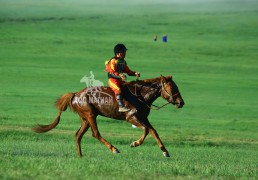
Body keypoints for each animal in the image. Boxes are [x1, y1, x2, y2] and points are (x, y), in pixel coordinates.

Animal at [33, 75, 184, 157]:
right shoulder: (131, 118)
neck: (140, 95)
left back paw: (80, 156)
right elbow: (146, 130)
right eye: (172, 88)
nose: (181, 102)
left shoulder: (143, 118)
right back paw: (114, 149)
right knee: (95, 134)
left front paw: (165, 151)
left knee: (78, 135)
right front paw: (134, 144)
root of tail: (75, 94)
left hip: (85, 119)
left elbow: (154, 131)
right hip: (91, 115)